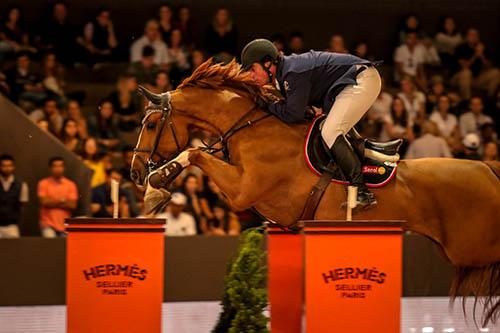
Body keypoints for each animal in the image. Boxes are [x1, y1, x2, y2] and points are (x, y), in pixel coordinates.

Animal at [132, 59, 500, 324]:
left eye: (150, 125)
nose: (135, 171)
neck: (250, 127)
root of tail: (487, 169)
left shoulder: (243, 190)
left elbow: (194, 153)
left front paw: (156, 186)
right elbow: (198, 154)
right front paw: (156, 188)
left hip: (471, 249)